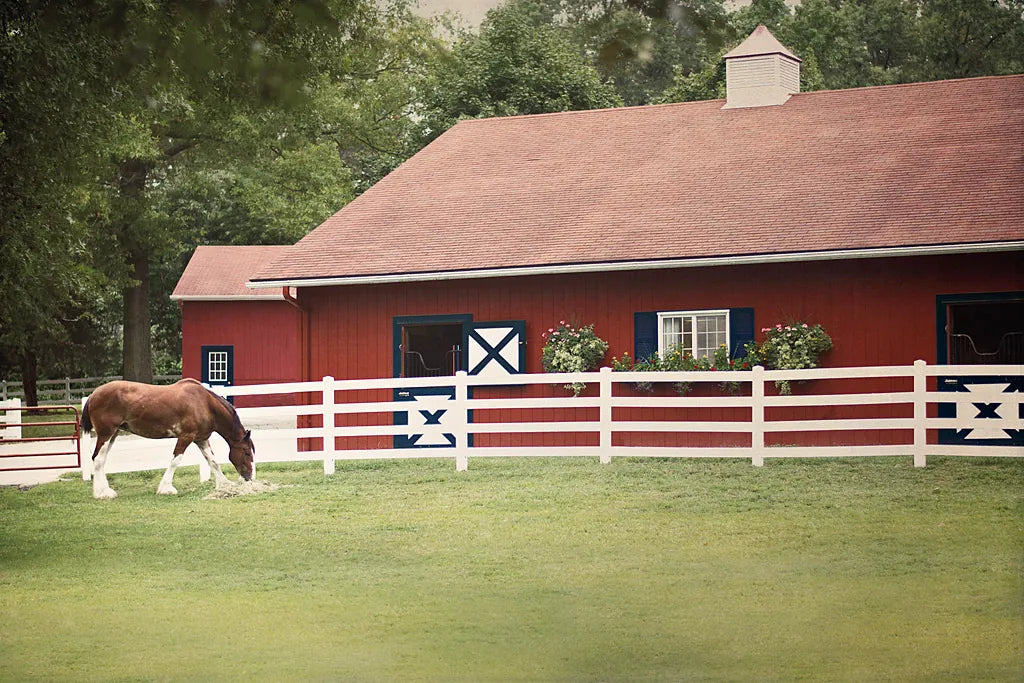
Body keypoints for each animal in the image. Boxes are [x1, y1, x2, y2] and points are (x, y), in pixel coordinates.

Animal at [81, 378, 255, 499]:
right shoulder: (186, 437)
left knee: (101, 459)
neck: (205, 404)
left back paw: (105, 490)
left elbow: (213, 461)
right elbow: (175, 461)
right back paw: (102, 493)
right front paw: (166, 488)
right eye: (247, 452)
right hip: (106, 433)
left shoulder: (201, 439)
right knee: (98, 459)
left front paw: (225, 485)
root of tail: (93, 394)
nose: (250, 478)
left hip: (113, 434)